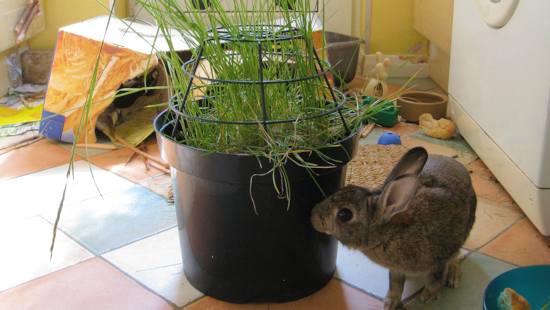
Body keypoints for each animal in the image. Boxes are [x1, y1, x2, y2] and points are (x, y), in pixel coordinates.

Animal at [312, 147, 476, 308]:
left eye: (344, 214)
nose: (313, 216)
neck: (389, 234)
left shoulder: (440, 259)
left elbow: (434, 279)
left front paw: (429, 296)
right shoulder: (397, 269)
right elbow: (395, 284)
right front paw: (390, 303)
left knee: (457, 255)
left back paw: (453, 277)